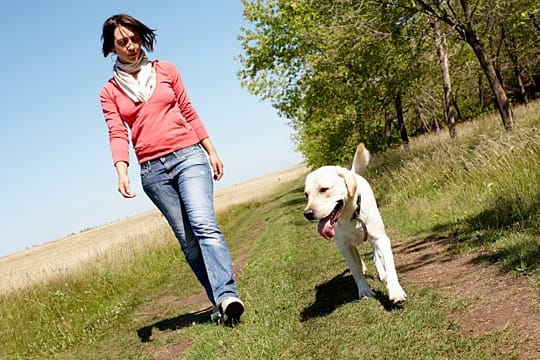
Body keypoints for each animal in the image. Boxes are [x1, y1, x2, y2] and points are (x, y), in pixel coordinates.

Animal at [304, 143, 404, 304]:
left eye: (324, 189)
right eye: (306, 195)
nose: (307, 214)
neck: (351, 216)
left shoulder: (381, 238)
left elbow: (389, 265)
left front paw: (395, 291)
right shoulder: (344, 246)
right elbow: (355, 269)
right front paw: (364, 290)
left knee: (376, 256)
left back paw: (382, 274)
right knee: (358, 260)